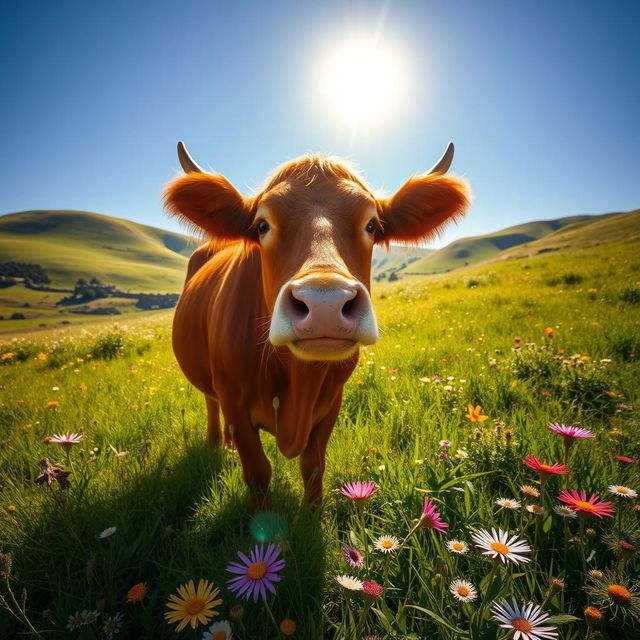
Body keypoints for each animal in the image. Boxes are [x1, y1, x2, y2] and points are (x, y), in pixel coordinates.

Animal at [164, 141, 470, 510]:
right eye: (262, 225)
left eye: (371, 225)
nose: (325, 303)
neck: (298, 379)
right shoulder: (233, 400)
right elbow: (258, 471)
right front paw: (263, 518)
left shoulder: (331, 403)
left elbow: (313, 466)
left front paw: (313, 516)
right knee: (210, 401)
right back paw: (215, 442)